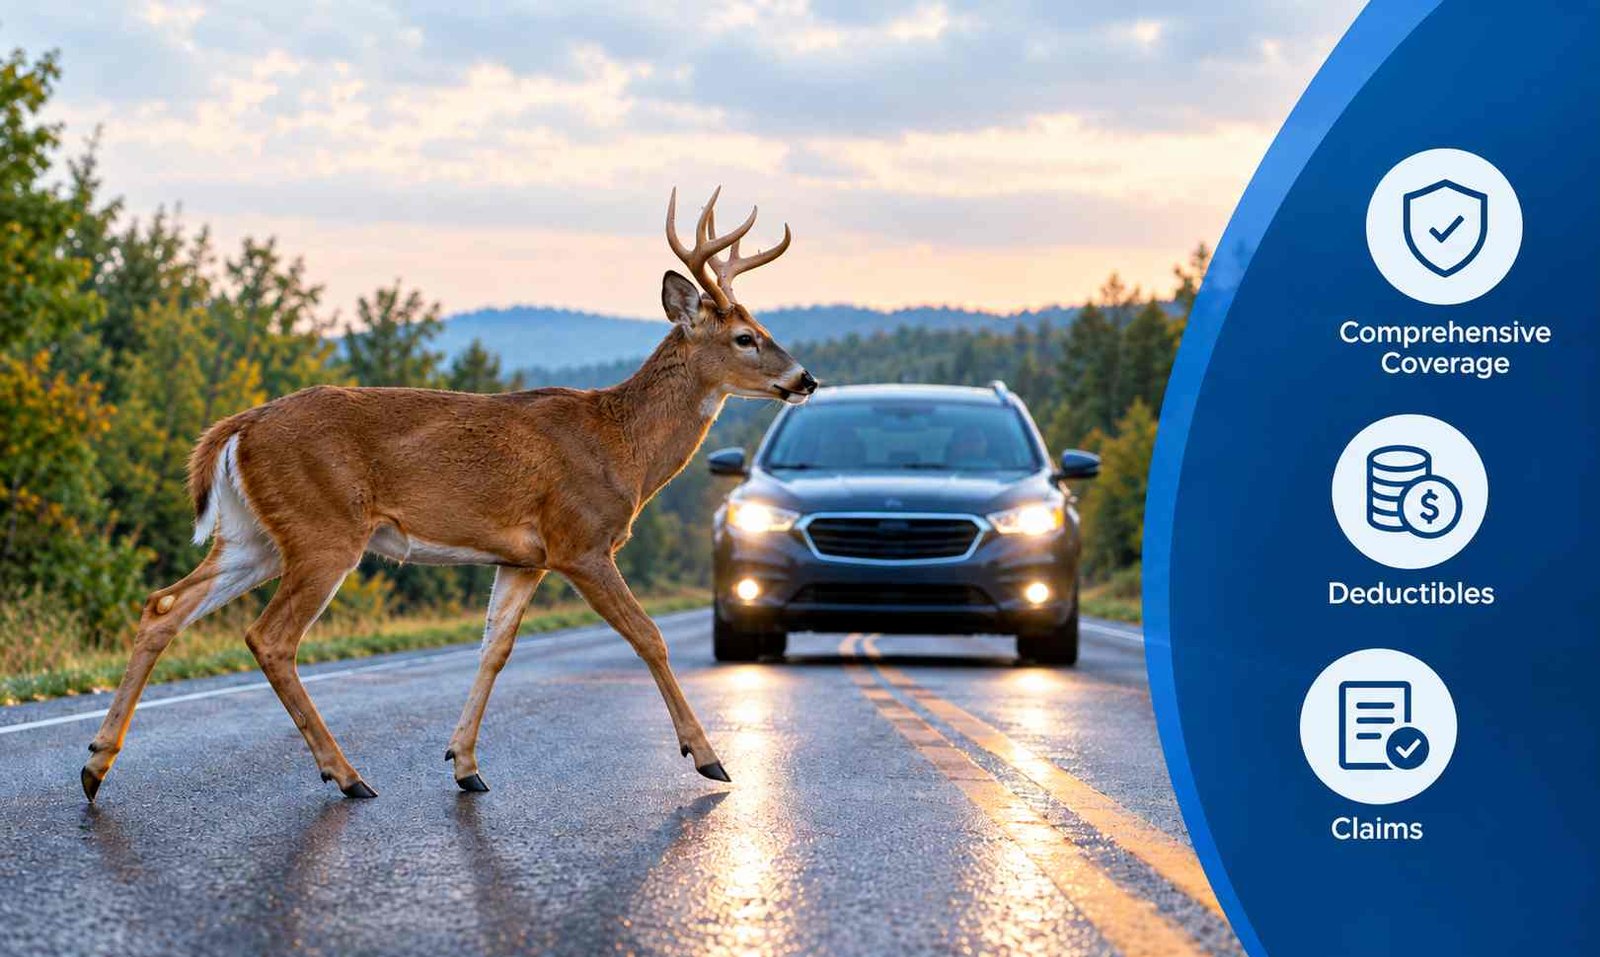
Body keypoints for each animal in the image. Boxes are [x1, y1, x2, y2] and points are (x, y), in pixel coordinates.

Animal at [81, 188, 816, 802]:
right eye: (745, 337)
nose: (805, 379)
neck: (620, 447)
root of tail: (237, 427)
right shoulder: (580, 540)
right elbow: (649, 637)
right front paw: (709, 758)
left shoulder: (522, 557)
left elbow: (494, 649)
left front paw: (464, 764)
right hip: (323, 529)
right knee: (270, 636)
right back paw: (347, 775)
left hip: (252, 535)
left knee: (163, 606)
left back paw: (95, 765)